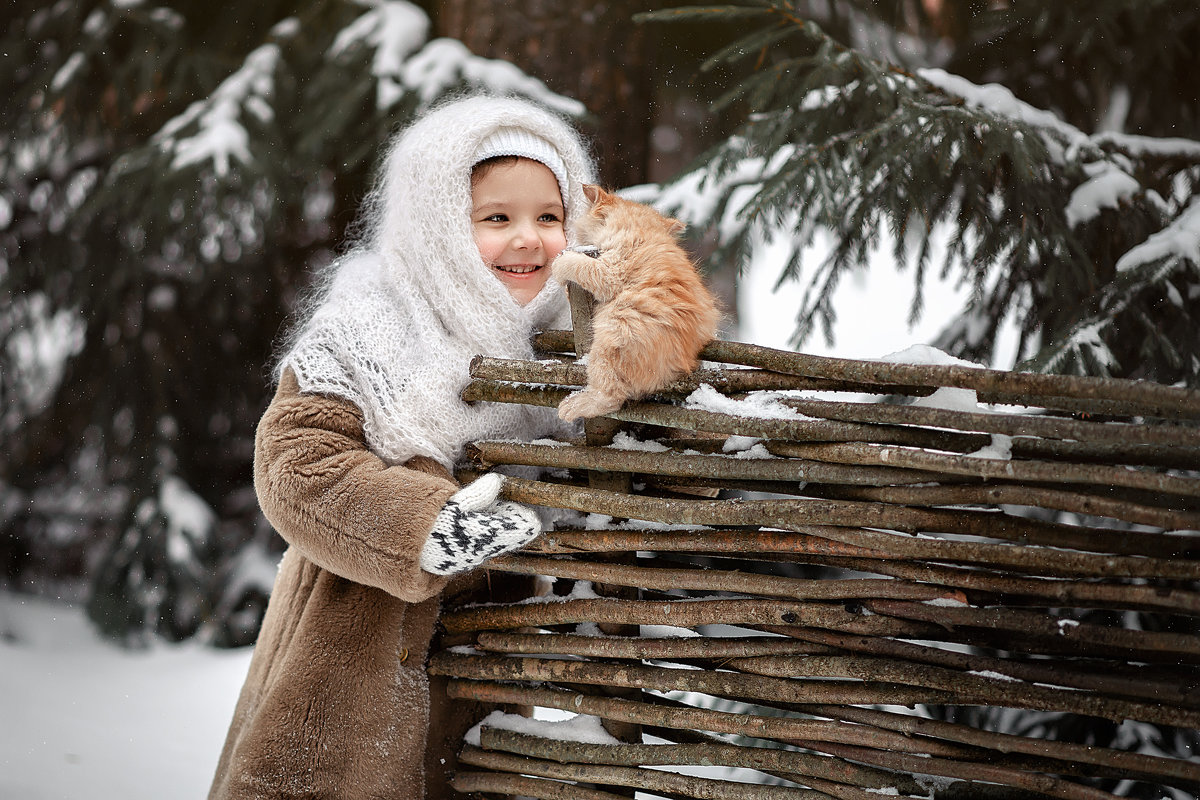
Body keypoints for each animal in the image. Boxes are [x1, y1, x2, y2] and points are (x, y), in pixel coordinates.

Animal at [552, 185, 720, 424]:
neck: (642, 229)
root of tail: (683, 364)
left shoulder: (610, 269)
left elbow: (577, 265)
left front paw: (559, 265)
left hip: (611, 337)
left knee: (610, 396)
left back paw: (573, 405)